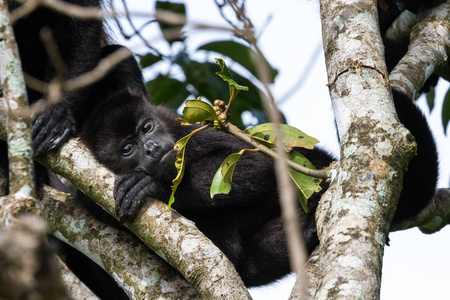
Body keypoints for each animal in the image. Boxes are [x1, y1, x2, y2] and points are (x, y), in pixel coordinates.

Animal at [80, 45, 436, 288]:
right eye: (127, 149)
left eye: (147, 127)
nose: (152, 148)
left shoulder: (190, 135)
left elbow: (262, 163)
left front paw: (154, 185)